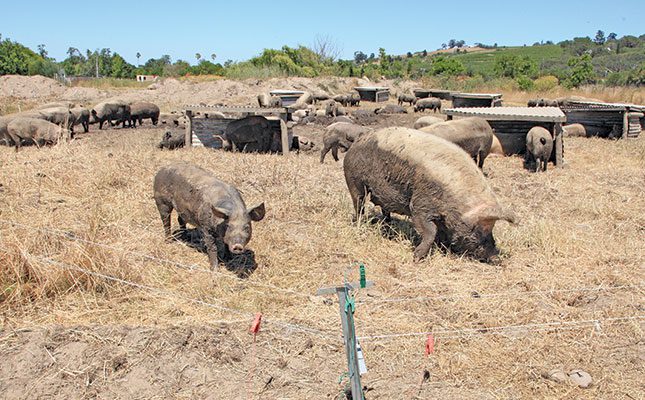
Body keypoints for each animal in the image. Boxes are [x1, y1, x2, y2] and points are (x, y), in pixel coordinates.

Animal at [343, 127, 515, 261]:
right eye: (478, 230)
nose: (496, 257)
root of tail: (358, 140)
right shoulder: (420, 204)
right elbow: (429, 230)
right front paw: (416, 258)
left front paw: (442, 248)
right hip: (353, 180)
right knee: (358, 203)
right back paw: (359, 223)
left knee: (385, 210)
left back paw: (388, 226)